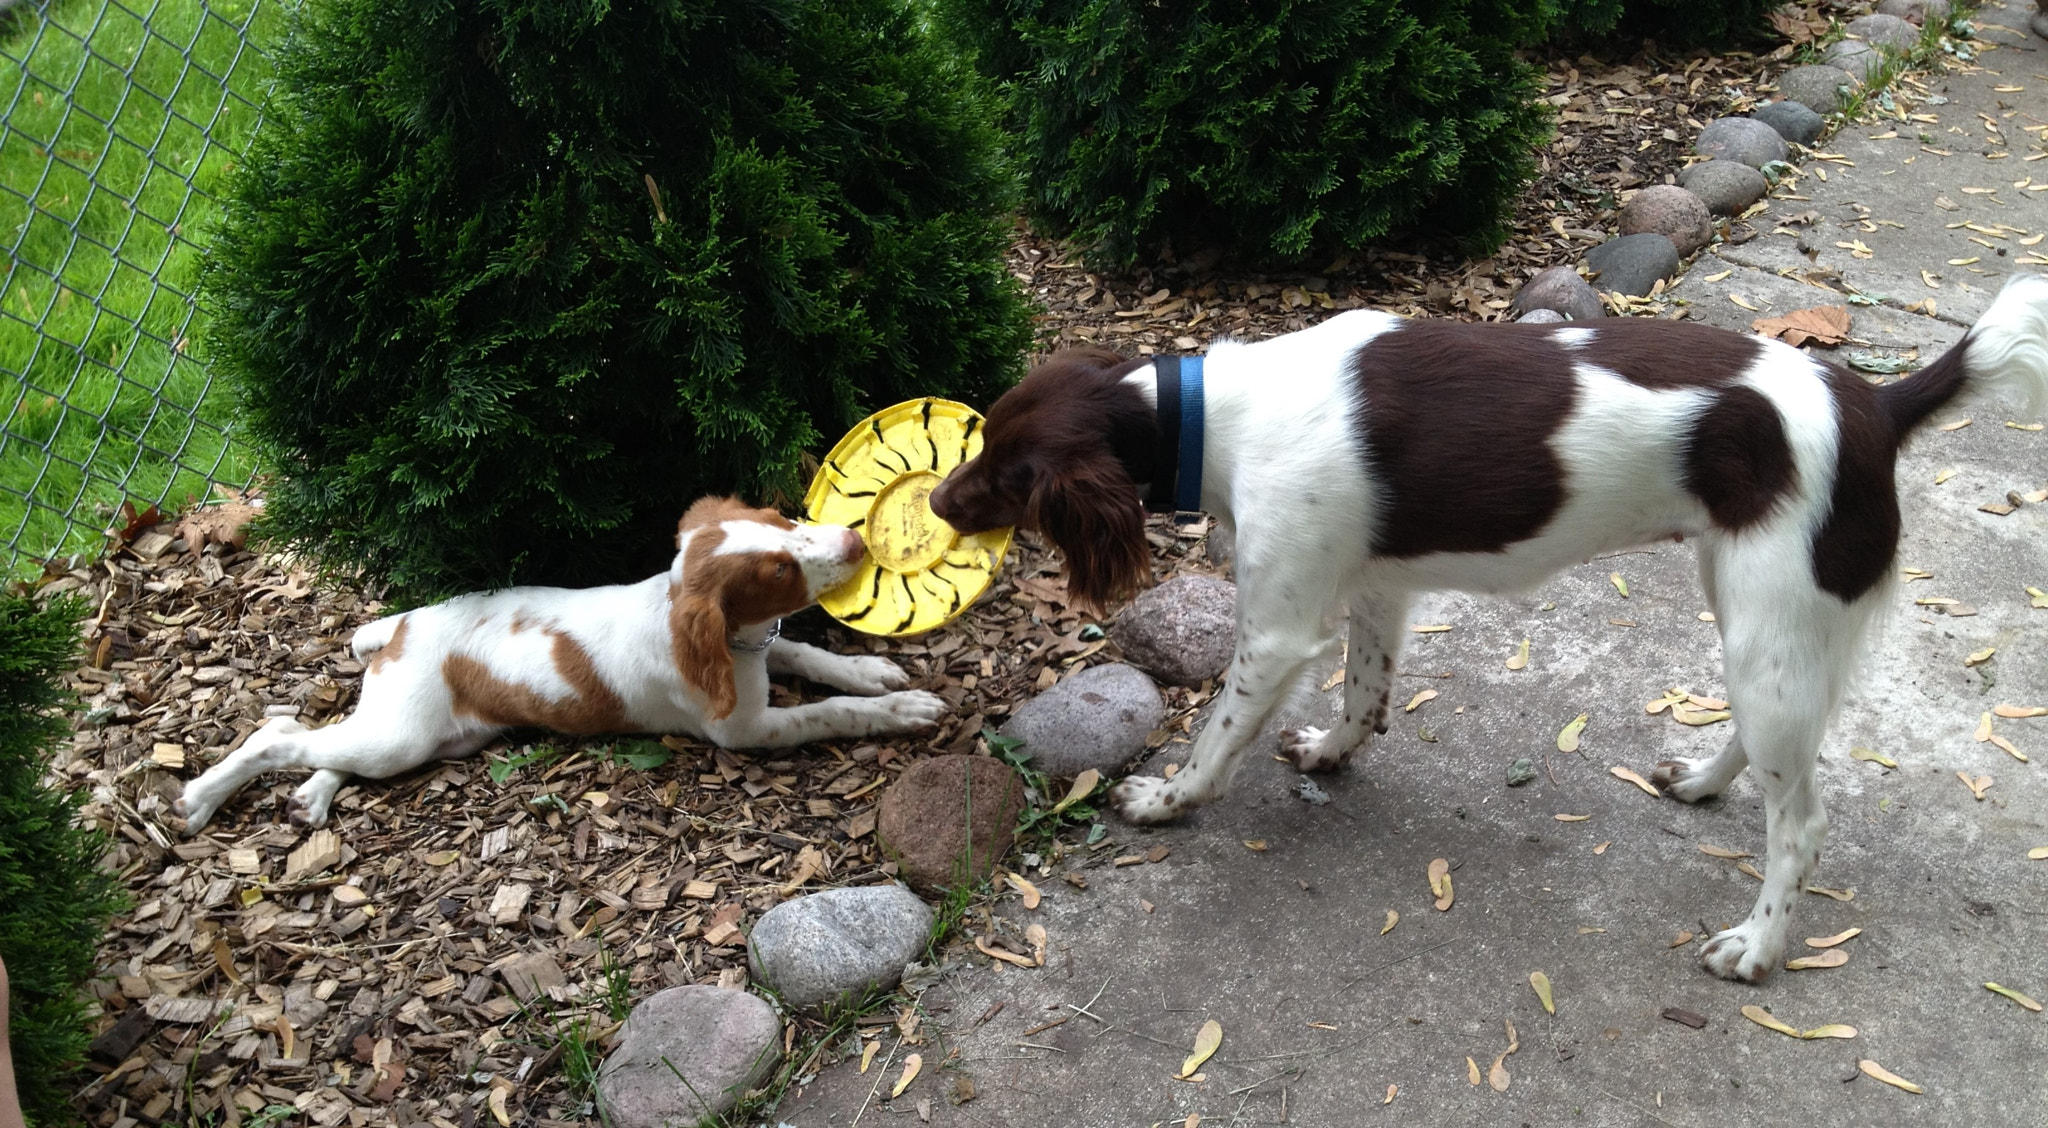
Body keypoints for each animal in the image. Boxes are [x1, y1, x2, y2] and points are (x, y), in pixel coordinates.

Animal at [176, 499, 942, 835]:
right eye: (779, 570)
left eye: (782, 517)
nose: (855, 541)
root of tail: (404, 623)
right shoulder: (743, 729)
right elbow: (826, 712)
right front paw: (899, 710)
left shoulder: (756, 650)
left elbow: (809, 654)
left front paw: (874, 673)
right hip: (403, 733)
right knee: (279, 736)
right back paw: (201, 798)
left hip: (428, 735)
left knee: (332, 747)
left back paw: (312, 795)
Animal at [929, 278, 2048, 982]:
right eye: (981, 441)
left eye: (1006, 473)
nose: (935, 502)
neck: (1221, 414)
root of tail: (1875, 403)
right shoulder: (1374, 587)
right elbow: (1365, 692)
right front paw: (1332, 752)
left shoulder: (1279, 626)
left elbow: (1216, 736)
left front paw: (1166, 799)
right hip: (1752, 611)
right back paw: (1701, 781)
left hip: (1774, 618)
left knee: (1802, 821)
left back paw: (1757, 945)